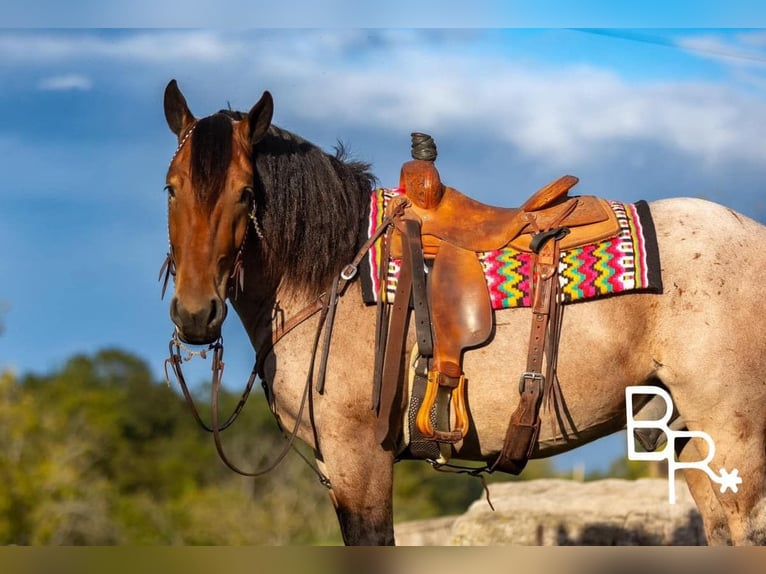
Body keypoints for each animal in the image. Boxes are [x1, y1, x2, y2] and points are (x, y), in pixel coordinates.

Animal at [160, 80, 766, 544]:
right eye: (170, 188)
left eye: (245, 193)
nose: (195, 314)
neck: (334, 272)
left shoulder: (360, 459)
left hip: (732, 432)